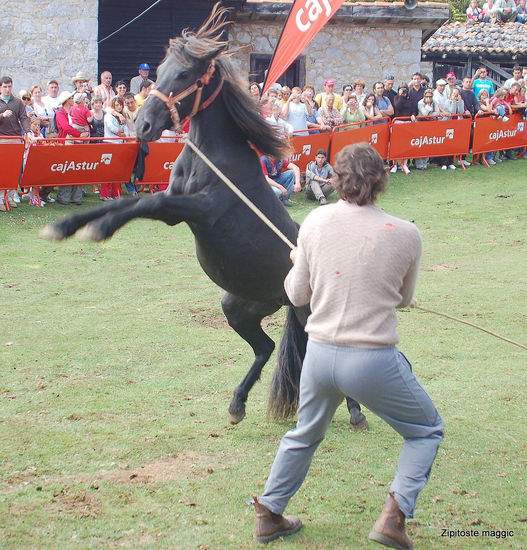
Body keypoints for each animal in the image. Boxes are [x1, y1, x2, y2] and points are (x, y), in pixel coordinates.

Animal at [40, 6, 368, 432]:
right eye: (158, 71)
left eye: (183, 75)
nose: (142, 126)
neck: (213, 158)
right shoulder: (175, 200)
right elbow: (126, 202)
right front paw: (65, 226)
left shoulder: (197, 210)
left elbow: (142, 205)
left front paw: (97, 230)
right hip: (239, 307)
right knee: (266, 348)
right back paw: (237, 404)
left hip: (305, 313)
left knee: (325, 355)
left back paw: (356, 412)